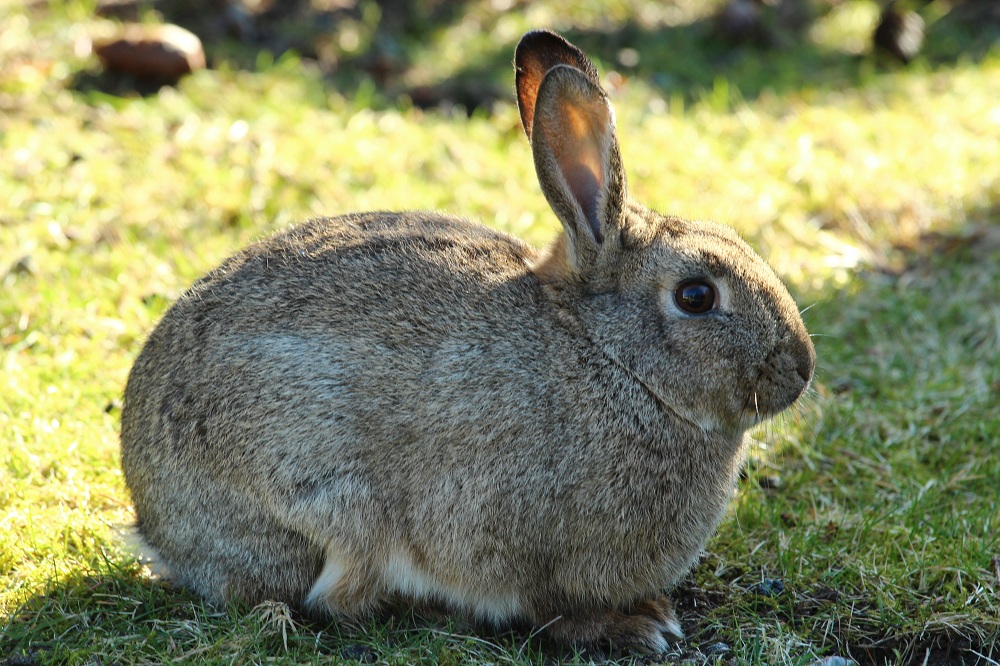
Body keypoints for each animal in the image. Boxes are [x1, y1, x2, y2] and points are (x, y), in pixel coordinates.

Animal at [121, 28, 816, 652]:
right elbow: (550, 609)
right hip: (316, 497)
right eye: (696, 296)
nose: (801, 369)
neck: (614, 360)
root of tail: (153, 521)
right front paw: (636, 626)